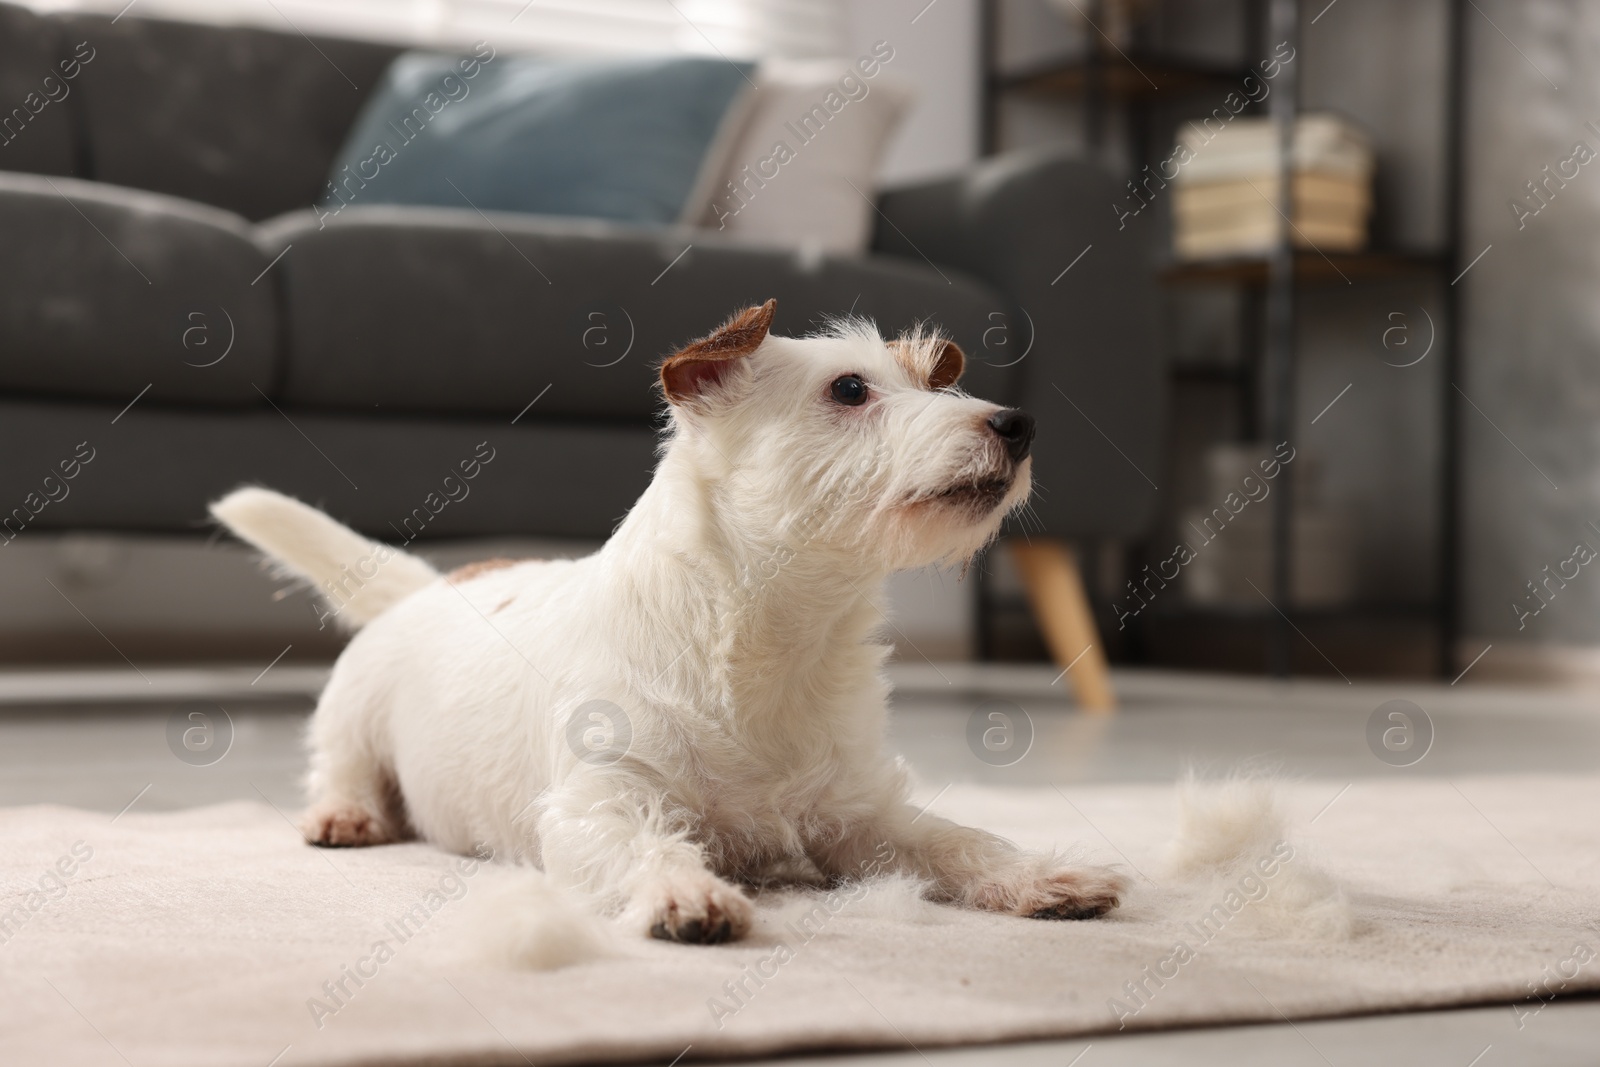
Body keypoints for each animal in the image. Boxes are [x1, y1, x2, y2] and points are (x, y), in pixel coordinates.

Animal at [216, 299, 1126, 940]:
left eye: (936, 385)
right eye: (849, 388)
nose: (1017, 424)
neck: (777, 632)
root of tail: (436, 584)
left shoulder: (865, 817)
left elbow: (959, 839)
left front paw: (1043, 874)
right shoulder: (598, 805)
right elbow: (644, 844)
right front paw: (683, 889)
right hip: (351, 717)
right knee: (339, 765)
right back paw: (345, 813)